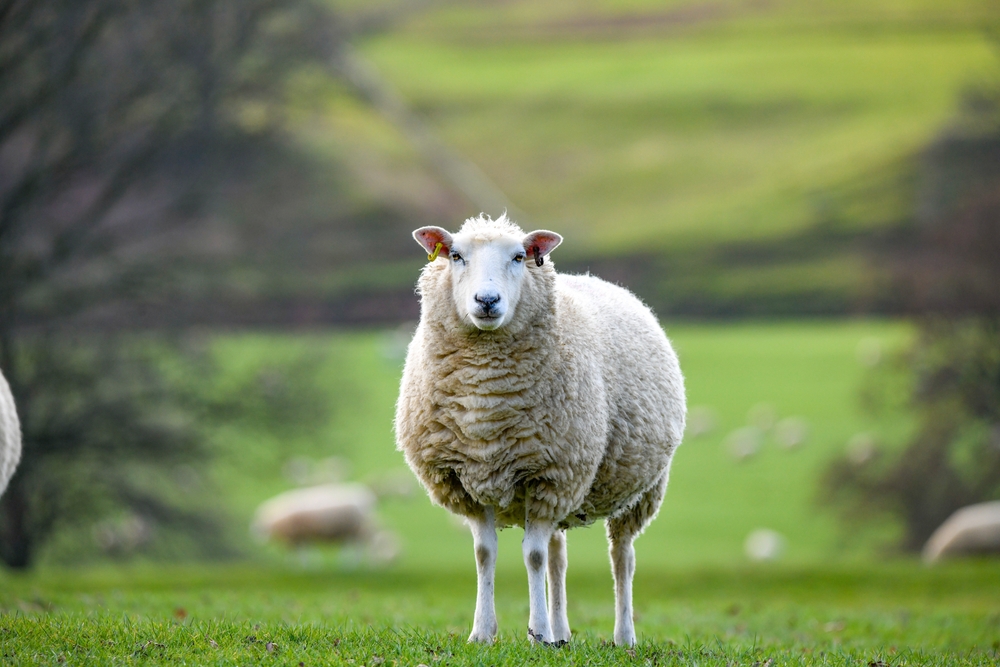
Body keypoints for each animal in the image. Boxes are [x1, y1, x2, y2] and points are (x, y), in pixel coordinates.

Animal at [394, 215, 684, 648]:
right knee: (558, 557)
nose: (487, 301)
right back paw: (562, 632)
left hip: (640, 490)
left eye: (519, 257)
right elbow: (485, 553)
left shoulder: (550, 476)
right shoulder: (467, 481)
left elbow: (532, 556)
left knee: (622, 556)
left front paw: (537, 633)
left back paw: (623, 635)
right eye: (456, 255)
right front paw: (483, 632)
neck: (486, 401)